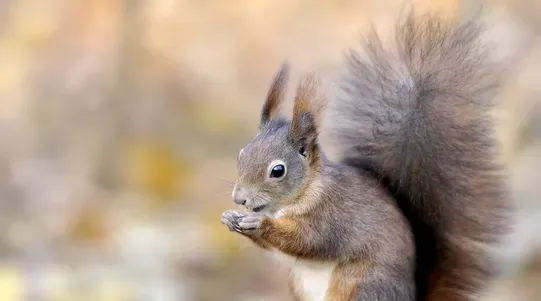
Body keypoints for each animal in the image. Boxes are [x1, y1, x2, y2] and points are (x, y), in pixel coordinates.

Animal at [219, 9, 506, 300]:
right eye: (242, 154)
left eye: (278, 171)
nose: (239, 198)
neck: (303, 193)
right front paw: (231, 218)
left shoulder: (331, 216)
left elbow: (307, 240)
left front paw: (259, 223)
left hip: (361, 285)